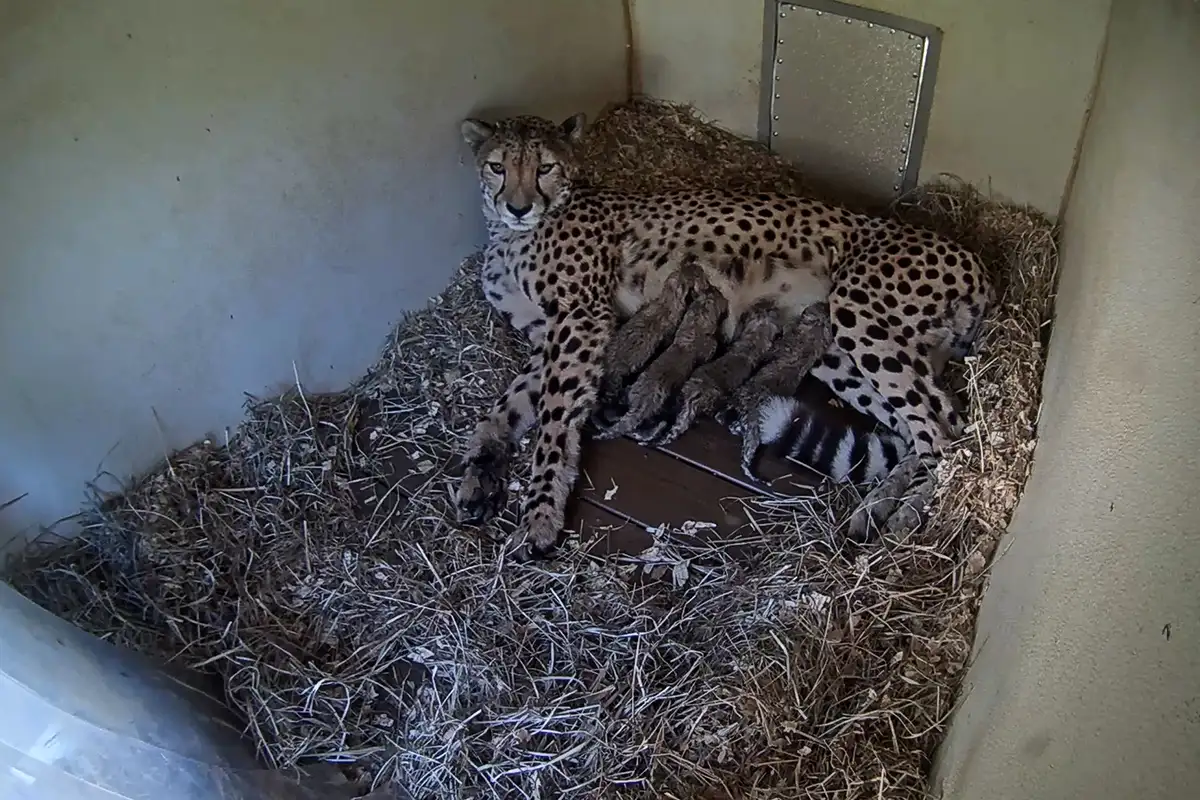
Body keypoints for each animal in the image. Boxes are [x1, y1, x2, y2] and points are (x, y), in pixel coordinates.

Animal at [455, 112, 991, 557]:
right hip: (839, 350)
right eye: (498, 167)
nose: (518, 207)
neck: (512, 235)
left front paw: (541, 515)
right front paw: (479, 470)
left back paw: (900, 514)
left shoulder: (580, 319)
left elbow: (553, 419)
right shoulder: (549, 335)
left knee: (943, 431)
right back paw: (877, 506)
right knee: (923, 428)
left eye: (545, 167)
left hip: (860, 316)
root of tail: (975, 261)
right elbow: (507, 407)